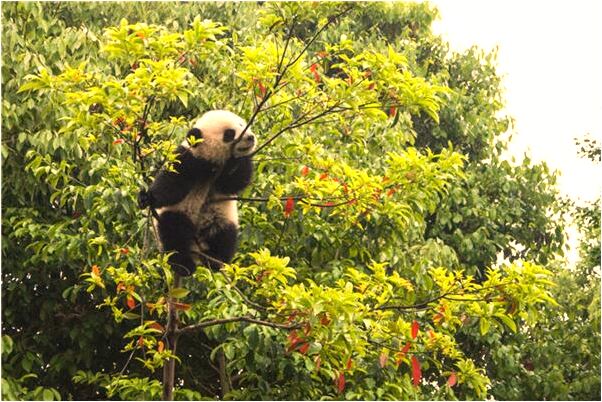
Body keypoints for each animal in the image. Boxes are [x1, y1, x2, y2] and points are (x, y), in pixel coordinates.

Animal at [137, 111, 254, 278]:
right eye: (229, 134)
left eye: (242, 125)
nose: (250, 137)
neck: (209, 163)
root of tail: (198, 246)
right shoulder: (187, 158)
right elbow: (172, 185)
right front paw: (147, 198)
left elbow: (234, 183)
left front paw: (238, 160)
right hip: (179, 214)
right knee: (174, 231)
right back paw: (183, 265)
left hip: (220, 216)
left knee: (225, 234)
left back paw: (216, 260)